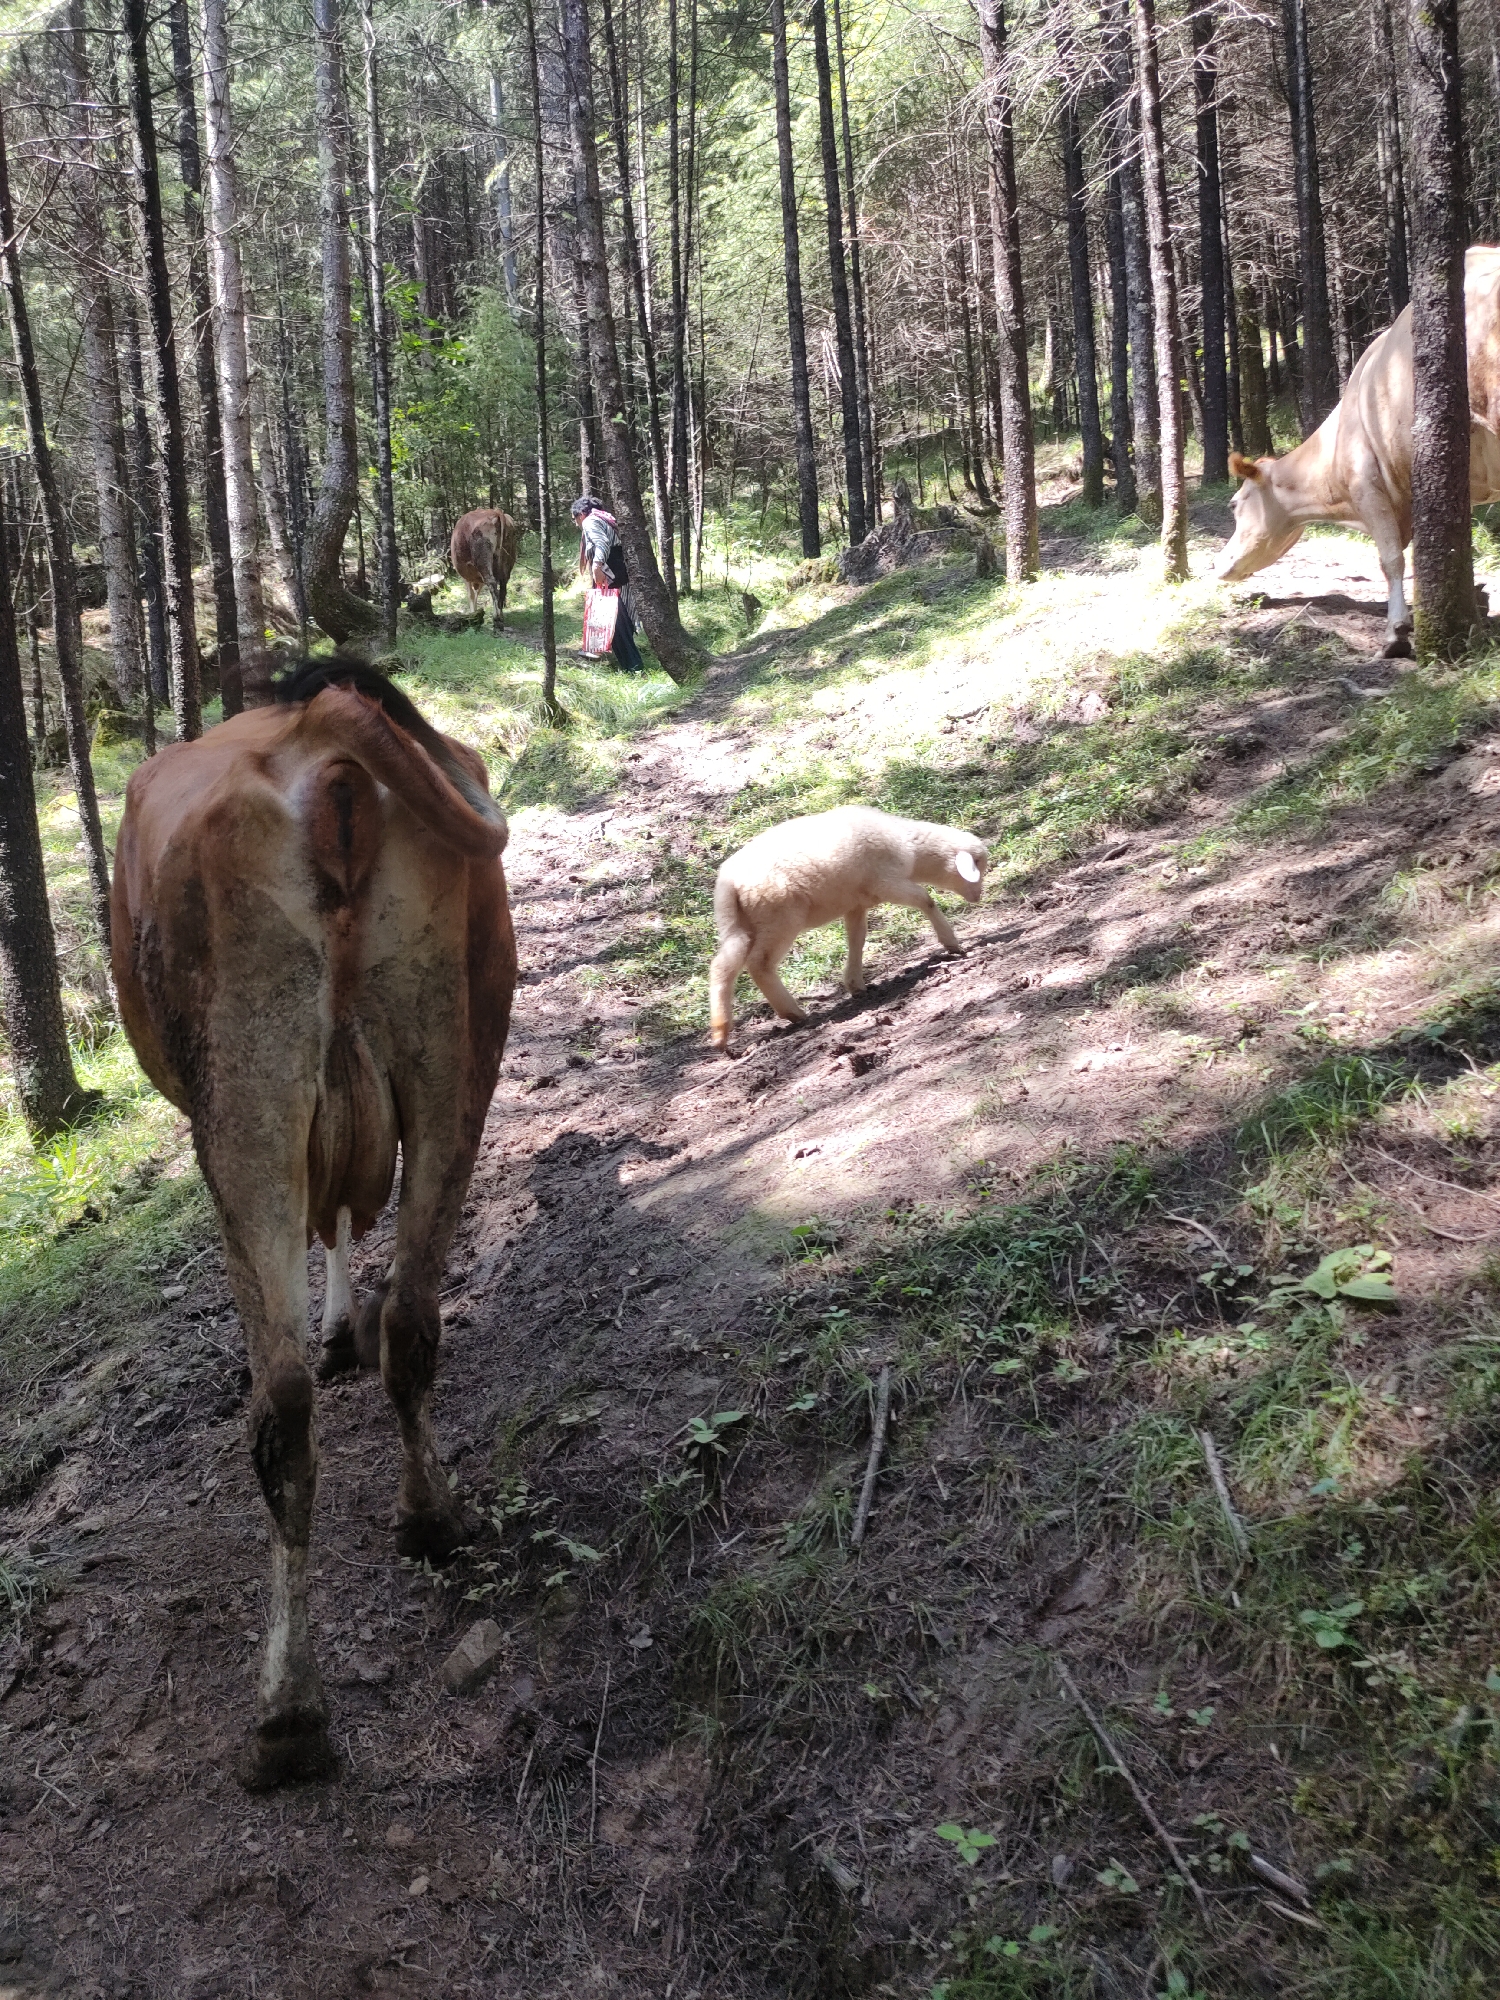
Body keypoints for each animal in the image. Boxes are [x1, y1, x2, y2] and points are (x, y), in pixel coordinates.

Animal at [111, 659, 516, 1789]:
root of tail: (322, 737)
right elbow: (345, 1226)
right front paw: (344, 1324)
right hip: (454, 1039)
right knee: (413, 1320)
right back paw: (431, 1516)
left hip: (239, 1105)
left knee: (280, 1408)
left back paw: (285, 1713)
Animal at [708, 805, 989, 1050]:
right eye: (977, 863)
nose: (978, 897)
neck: (908, 846)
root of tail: (728, 883)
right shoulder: (886, 883)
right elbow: (926, 900)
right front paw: (952, 943)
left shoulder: (857, 903)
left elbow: (857, 939)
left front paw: (855, 984)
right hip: (779, 918)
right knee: (760, 964)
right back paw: (793, 1012)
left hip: (740, 923)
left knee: (723, 966)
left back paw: (721, 1031)